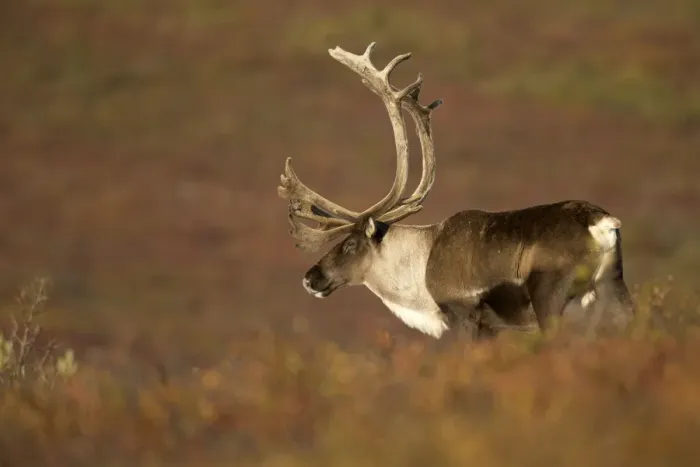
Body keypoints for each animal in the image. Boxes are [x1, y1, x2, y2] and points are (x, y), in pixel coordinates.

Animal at [278, 42, 636, 340]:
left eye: (350, 244)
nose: (310, 278)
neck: (420, 265)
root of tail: (601, 223)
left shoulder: (467, 315)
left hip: (552, 297)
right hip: (614, 289)